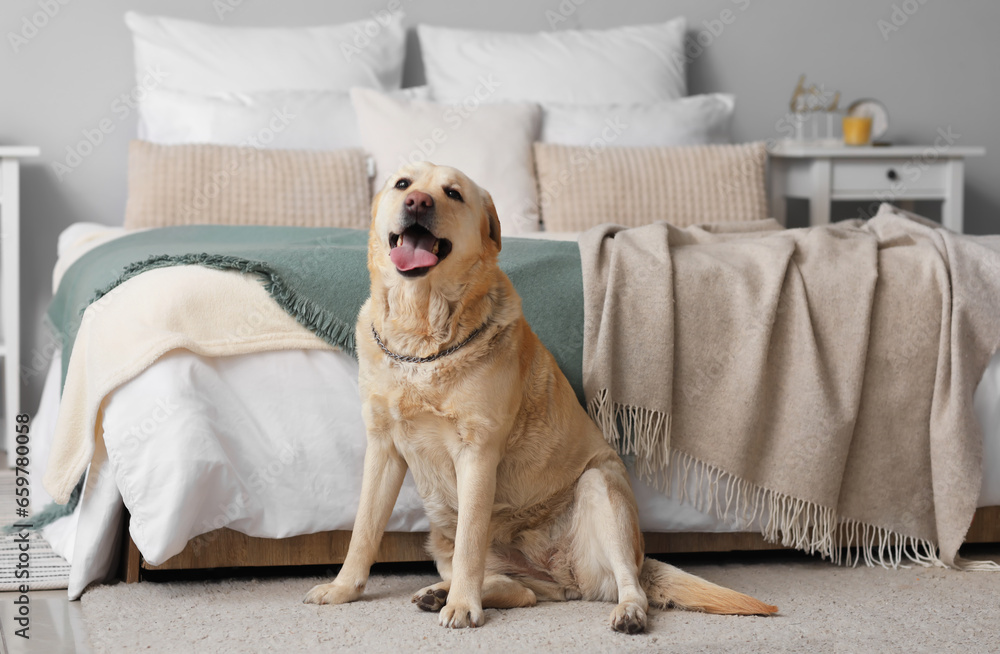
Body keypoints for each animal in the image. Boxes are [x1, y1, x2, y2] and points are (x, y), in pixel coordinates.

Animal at [304, 161, 780, 632]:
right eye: (403, 184)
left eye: (452, 193)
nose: (417, 202)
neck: (420, 338)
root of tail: (558, 571)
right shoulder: (383, 447)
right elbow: (364, 531)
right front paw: (344, 588)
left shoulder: (477, 452)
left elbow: (471, 541)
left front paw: (462, 607)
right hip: (439, 538)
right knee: (522, 592)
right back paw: (442, 592)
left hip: (600, 488)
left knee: (625, 582)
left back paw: (626, 612)